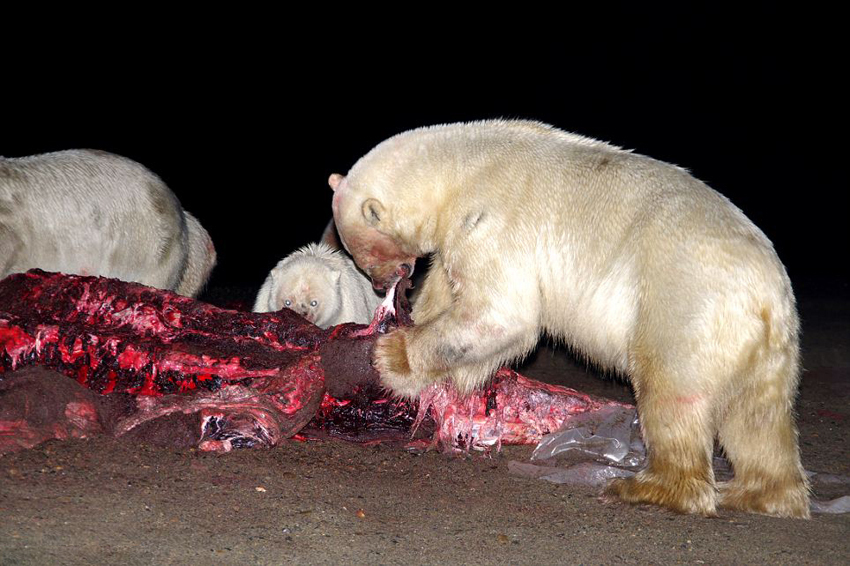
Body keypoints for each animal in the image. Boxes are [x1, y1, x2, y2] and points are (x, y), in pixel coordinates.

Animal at [330, 120, 808, 520]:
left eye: (361, 252)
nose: (379, 283)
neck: (458, 169)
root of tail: (768, 295)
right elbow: (450, 290)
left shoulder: (491, 220)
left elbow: (500, 313)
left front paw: (391, 358)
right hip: (762, 346)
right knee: (757, 418)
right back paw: (757, 493)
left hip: (684, 303)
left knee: (673, 392)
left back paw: (648, 488)